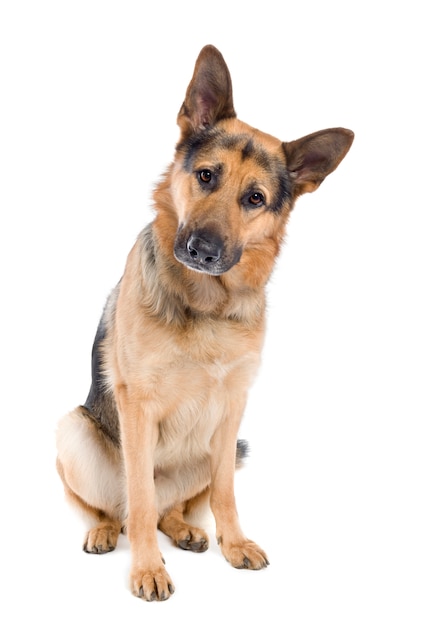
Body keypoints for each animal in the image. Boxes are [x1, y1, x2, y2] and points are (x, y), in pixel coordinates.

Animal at [56, 45, 354, 600]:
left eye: (255, 198)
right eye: (207, 176)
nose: (203, 250)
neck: (207, 305)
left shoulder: (234, 405)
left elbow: (224, 494)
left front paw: (232, 544)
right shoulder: (137, 405)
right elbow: (139, 497)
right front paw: (148, 569)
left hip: (226, 446)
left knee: (171, 507)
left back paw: (185, 530)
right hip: (73, 431)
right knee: (119, 508)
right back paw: (106, 531)